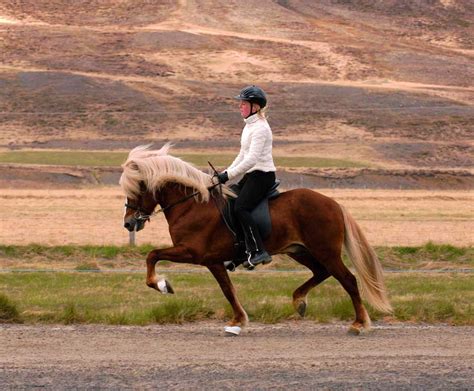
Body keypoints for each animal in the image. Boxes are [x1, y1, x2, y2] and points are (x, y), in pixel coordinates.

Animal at [120, 145, 390, 336]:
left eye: (136, 190)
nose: (129, 224)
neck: (192, 204)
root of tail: (334, 203)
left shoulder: (194, 253)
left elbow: (153, 255)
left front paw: (162, 285)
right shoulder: (212, 261)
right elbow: (228, 290)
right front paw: (238, 322)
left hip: (325, 251)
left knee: (348, 280)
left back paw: (358, 324)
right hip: (299, 251)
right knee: (321, 272)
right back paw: (299, 301)